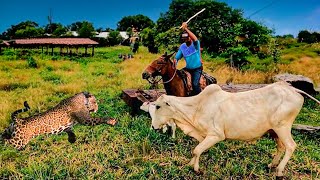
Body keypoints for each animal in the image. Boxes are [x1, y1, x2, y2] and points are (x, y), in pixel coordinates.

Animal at [146, 81, 318, 177]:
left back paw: (280, 171)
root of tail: (294, 90)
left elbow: (196, 150)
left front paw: (196, 169)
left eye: (158, 106)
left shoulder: (215, 135)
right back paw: (271, 165)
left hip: (282, 126)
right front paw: (190, 164)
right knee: (281, 147)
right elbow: (196, 151)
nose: (153, 126)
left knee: (291, 146)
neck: (196, 107)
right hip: (274, 131)